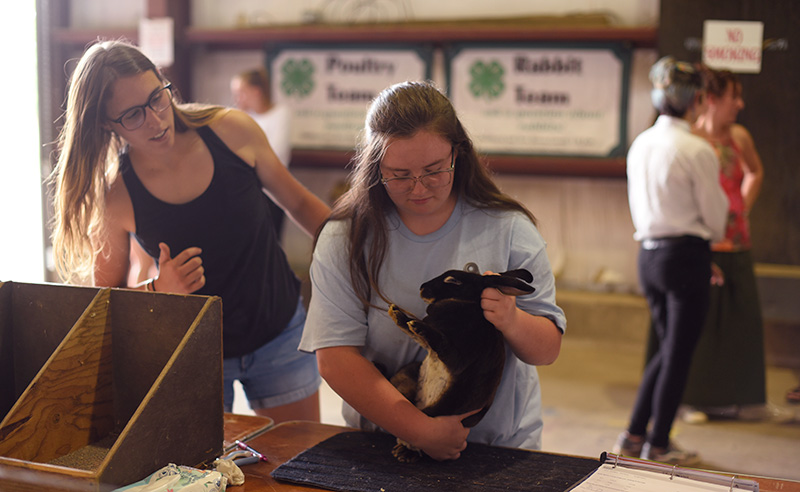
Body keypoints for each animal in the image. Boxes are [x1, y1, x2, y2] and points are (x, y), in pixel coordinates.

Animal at [386, 270, 532, 462]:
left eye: (453, 281)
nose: (422, 287)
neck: (466, 304)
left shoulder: (458, 356)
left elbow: (440, 342)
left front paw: (416, 324)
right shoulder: (429, 347)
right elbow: (412, 333)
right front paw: (396, 313)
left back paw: (405, 452)